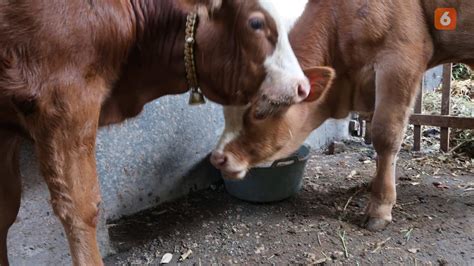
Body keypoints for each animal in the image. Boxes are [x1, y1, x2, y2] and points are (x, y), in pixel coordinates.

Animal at [211, 0, 474, 233]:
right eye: (226, 111)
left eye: (260, 111)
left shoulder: (401, 59)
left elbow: (385, 136)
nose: (217, 158)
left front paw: (379, 207)